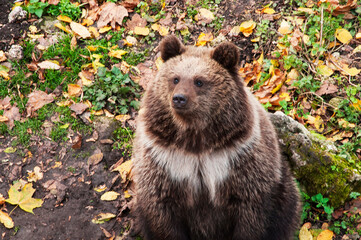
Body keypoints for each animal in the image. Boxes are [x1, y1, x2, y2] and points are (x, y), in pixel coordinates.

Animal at [131, 35, 300, 240]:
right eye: (175, 78)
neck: (196, 138)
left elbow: (251, 211)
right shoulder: (164, 159)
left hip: (283, 186)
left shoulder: (239, 159)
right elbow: (162, 210)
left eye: (199, 81)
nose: (179, 98)